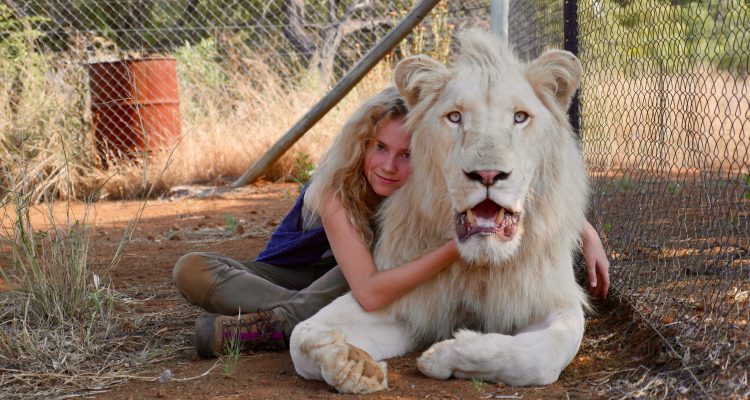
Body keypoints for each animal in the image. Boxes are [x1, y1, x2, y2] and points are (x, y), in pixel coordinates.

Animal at [289, 29, 590, 394]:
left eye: (520, 117)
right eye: (455, 117)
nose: (487, 174)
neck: (479, 266)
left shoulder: (553, 299)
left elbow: (542, 355)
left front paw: (446, 355)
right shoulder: (401, 298)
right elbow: (301, 336)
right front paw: (353, 365)